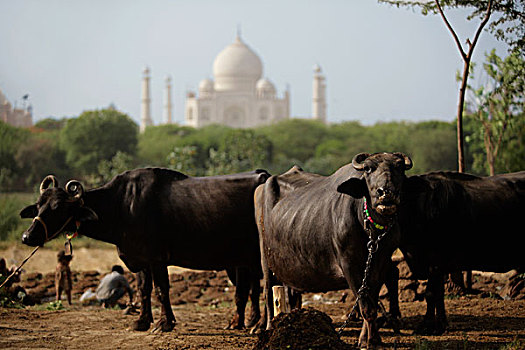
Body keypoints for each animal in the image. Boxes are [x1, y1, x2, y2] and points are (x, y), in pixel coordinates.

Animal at [19, 168, 270, 332]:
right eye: (39, 205)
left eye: (58, 207)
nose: (27, 236)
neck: (121, 206)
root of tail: (264, 177)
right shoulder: (140, 260)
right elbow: (144, 290)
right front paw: (141, 321)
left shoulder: (157, 259)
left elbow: (161, 290)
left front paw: (164, 323)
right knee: (249, 289)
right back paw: (241, 322)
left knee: (264, 287)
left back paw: (258, 326)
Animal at [255, 152, 414, 348]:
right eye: (368, 168)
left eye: (399, 167)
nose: (386, 192)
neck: (372, 231)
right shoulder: (349, 264)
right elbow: (365, 305)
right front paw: (370, 341)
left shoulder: (381, 262)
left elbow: (372, 298)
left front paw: (367, 339)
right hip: (266, 259)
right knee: (268, 293)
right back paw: (269, 329)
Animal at [398, 171, 524, 334]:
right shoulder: (439, 265)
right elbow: (439, 293)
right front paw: (441, 324)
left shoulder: (435, 261)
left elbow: (431, 293)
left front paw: (425, 326)